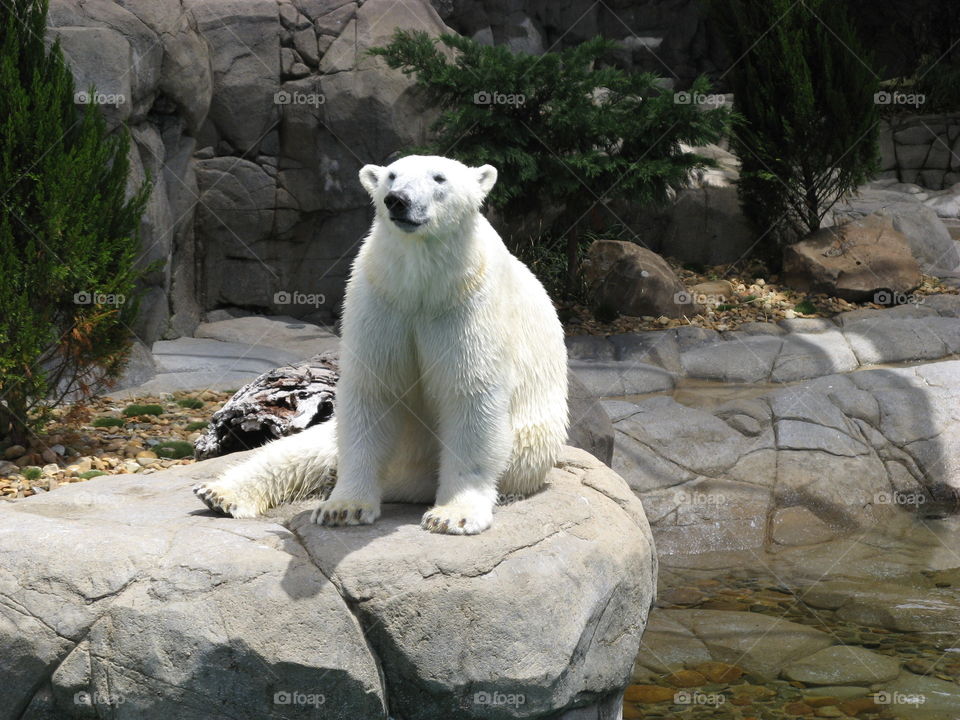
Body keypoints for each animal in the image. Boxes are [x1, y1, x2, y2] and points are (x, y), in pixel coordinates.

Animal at [194, 155, 568, 534]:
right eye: (391, 176)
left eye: (439, 178)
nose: (397, 200)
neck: (423, 283)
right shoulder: (381, 296)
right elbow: (372, 390)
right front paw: (343, 508)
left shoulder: (468, 302)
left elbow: (470, 393)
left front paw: (453, 515)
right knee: (309, 446)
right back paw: (220, 493)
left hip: (528, 446)